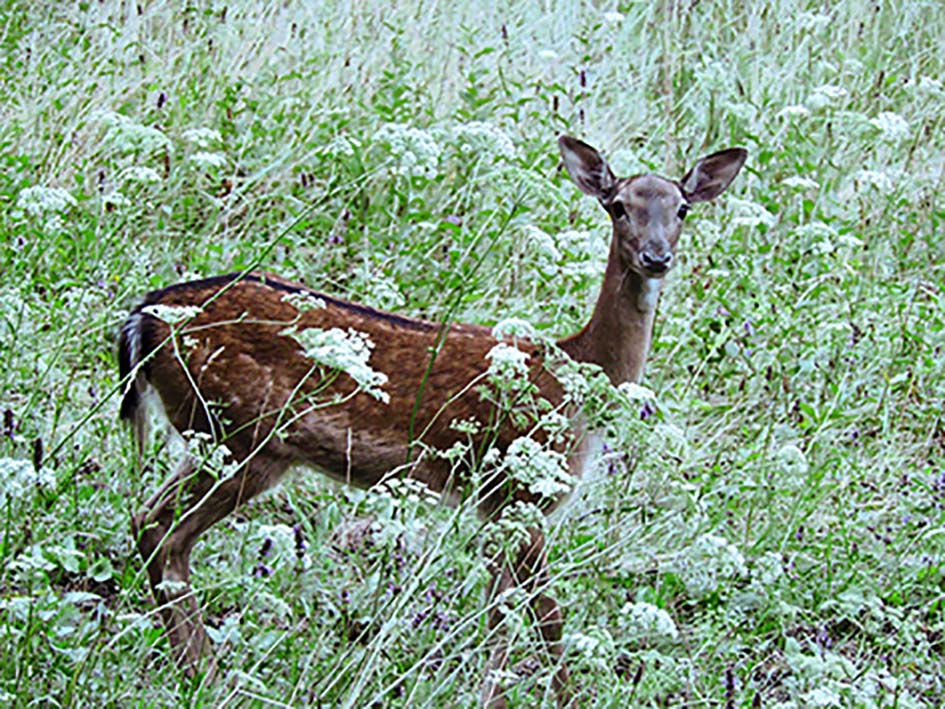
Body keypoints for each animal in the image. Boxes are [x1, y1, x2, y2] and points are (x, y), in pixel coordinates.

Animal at [120, 136, 744, 704]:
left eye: (681, 208)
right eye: (617, 206)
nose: (656, 256)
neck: (576, 378)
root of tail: (142, 321)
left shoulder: (495, 503)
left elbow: (501, 614)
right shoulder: (520, 487)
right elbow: (544, 614)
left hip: (221, 436)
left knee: (154, 526)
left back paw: (198, 673)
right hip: (238, 434)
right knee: (159, 528)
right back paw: (205, 676)